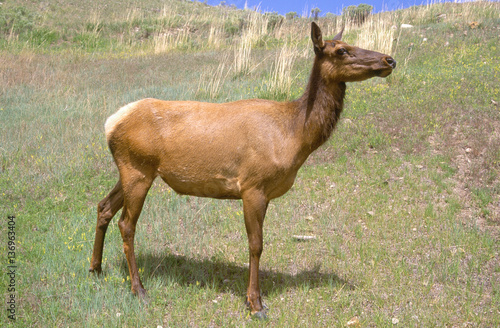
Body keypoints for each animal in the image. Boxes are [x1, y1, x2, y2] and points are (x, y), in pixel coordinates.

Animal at [89, 22, 394, 318]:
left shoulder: (266, 192)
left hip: (131, 170)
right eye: (341, 50)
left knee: (103, 207)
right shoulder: (252, 186)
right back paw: (138, 288)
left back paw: (95, 269)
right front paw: (255, 304)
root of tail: (110, 124)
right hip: (137, 169)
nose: (389, 59)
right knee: (126, 224)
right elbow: (256, 244)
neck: (294, 136)